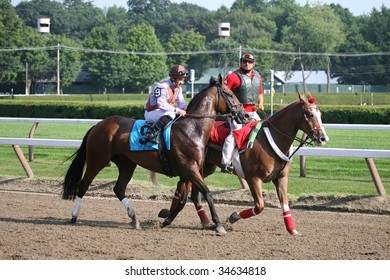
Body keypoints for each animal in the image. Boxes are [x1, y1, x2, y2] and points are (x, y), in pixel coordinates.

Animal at [157, 93, 328, 235]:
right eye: (310, 114)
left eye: (320, 114)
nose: (323, 138)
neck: (270, 139)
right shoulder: (253, 178)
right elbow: (259, 206)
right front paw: (233, 217)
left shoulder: (281, 178)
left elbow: (285, 204)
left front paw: (292, 229)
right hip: (193, 166)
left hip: (203, 168)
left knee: (189, 191)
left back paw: (194, 219)